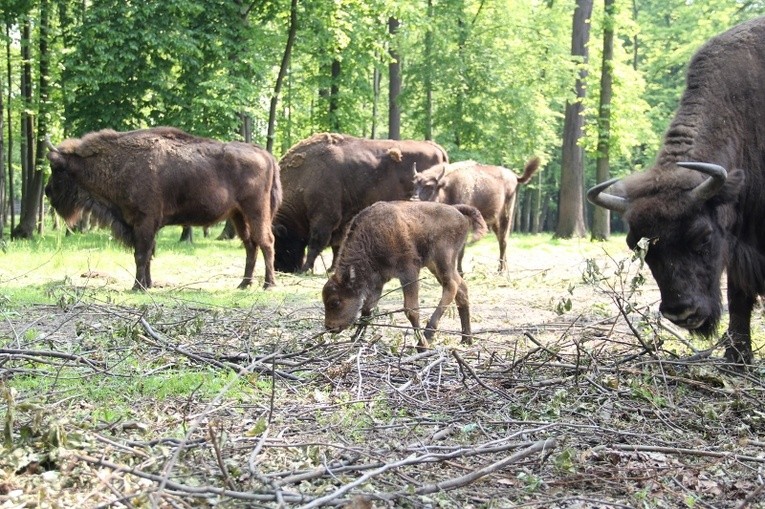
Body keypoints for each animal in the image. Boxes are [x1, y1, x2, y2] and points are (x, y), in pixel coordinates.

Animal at [45, 126, 284, 290]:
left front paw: (137, 287)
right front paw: (147, 284)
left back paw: (268, 285)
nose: (47, 191)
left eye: (56, 168)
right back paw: (243, 284)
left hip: (256, 212)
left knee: (266, 242)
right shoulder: (144, 225)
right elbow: (148, 253)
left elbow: (141, 254)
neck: (121, 163)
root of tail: (266, 155)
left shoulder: (144, 221)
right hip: (237, 215)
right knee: (250, 245)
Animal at [274, 133, 448, 272]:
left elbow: (316, 243)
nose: (280, 268)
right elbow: (338, 245)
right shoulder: (342, 221)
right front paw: (332, 268)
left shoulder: (324, 218)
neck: (305, 177)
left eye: (279, 241)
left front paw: (305, 268)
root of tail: (437, 148)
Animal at [320, 198, 486, 350]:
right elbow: (367, 309)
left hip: (443, 259)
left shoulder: (409, 273)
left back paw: (428, 334)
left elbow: (411, 310)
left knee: (451, 285)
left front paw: (422, 345)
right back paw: (466, 339)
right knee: (461, 288)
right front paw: (356, 339)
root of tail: (456, 210)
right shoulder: (378, 282)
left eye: (335, 302)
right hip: (435, 265)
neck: (372, 236)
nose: (329, 327)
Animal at [412, 157, 544, 274]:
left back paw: (501, 271)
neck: (447, 187)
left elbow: (460, 250)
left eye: (429, 186)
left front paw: (459, 272)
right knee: (501, 240)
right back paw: (504, 269)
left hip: (506, 215)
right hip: (495, 221)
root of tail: (514, 176)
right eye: (415, 185)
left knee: (503, 241)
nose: (414, 200)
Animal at [584, 15, 764, 366]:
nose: (681, 312)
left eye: (703, 237)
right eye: (635, 245)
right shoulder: (739, 246)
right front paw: (736, 359)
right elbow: (739, 296)